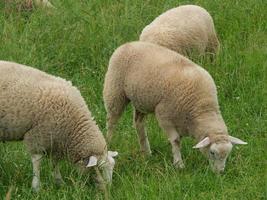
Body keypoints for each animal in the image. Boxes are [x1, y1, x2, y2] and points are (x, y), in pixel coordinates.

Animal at [0, 60, 118, 191]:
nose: (108, 190)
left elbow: (55, 162)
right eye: (100, 168)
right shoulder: (38, 136)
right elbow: (37, 161)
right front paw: (36, 187)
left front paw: (59, 182)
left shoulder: (56, 140)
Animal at [102, 41, 247, 173]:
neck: (202, 108)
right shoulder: (164, 115)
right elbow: (176, 141)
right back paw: (109, 142)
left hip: (141, 101)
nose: (220, 172)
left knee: (138, 124)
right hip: (115, 91)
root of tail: (127, 44)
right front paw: (179, 164)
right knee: (111, 121)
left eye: (227, 154)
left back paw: (146, 151)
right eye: (212, 152)